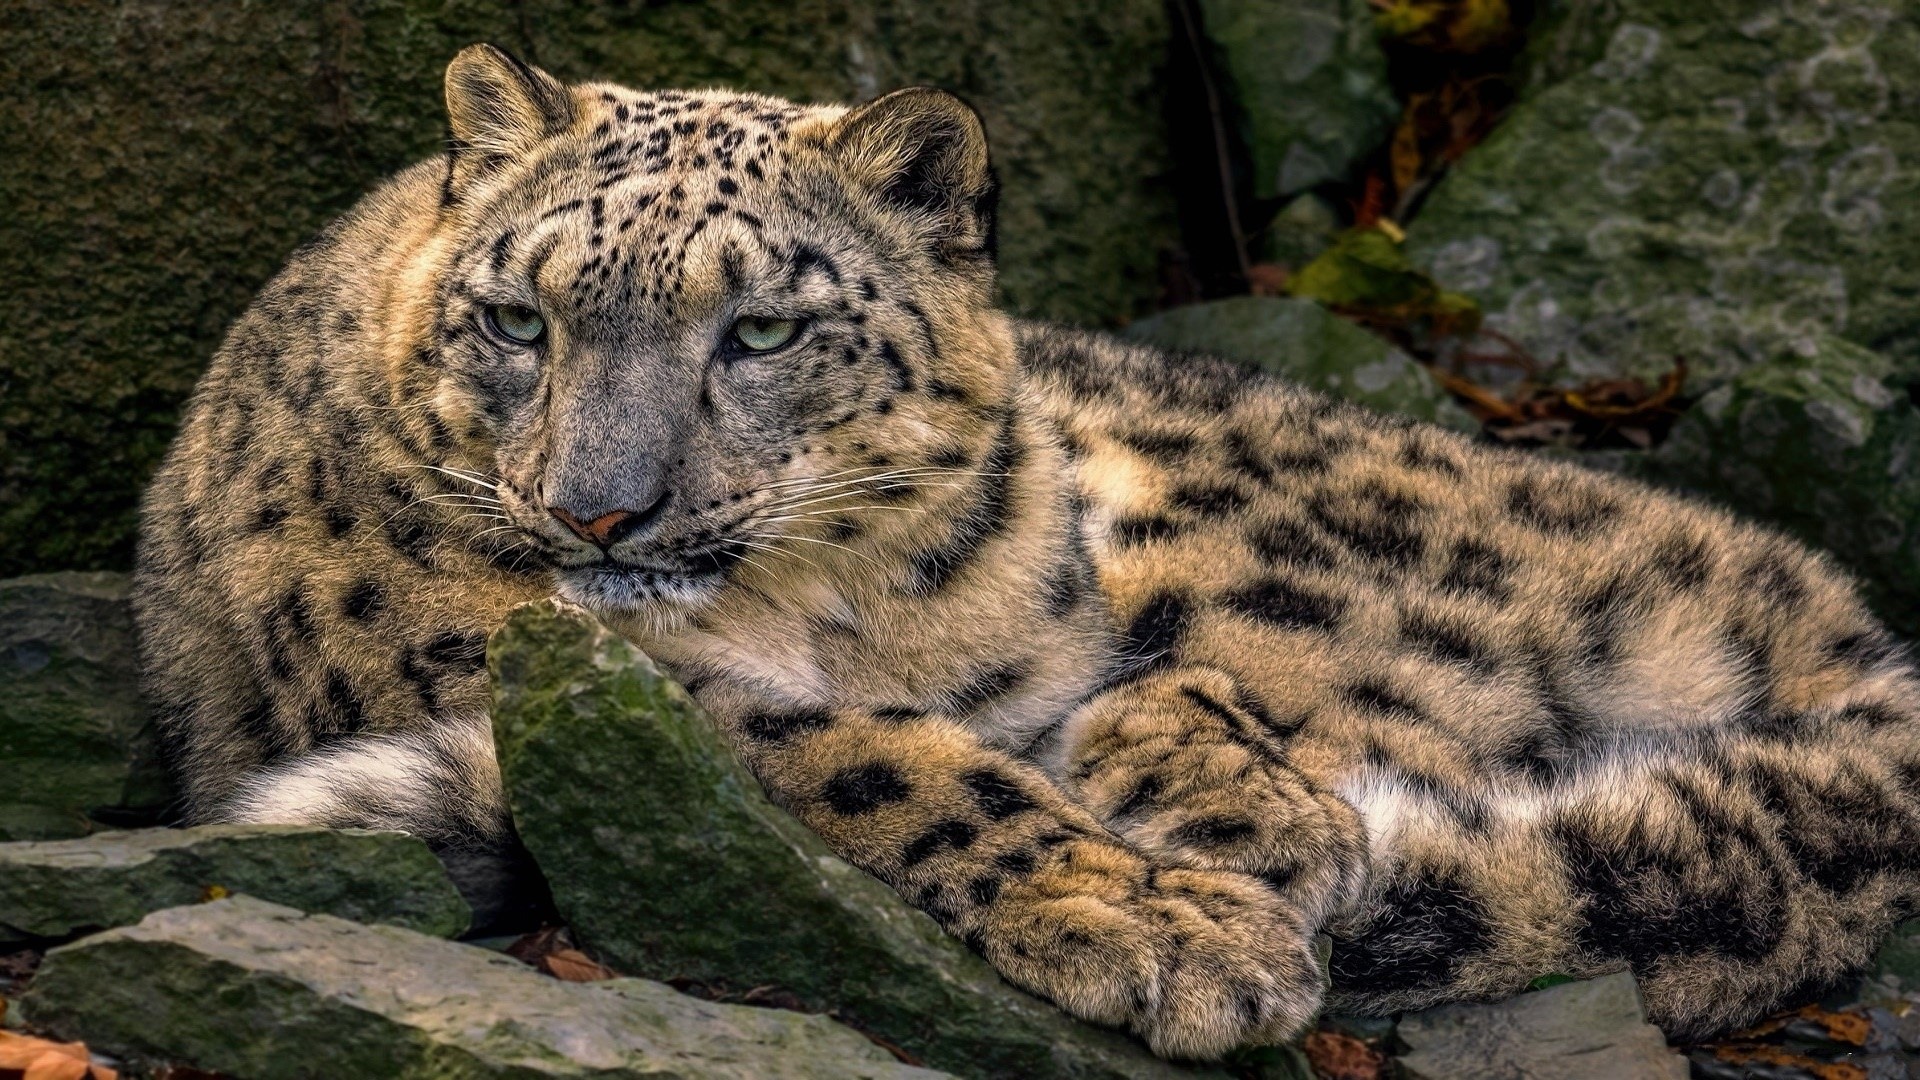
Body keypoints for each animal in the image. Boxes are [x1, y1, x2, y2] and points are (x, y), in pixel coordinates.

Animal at [133, 43, 1920, 1060]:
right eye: (519, 319)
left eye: (760, 330)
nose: (598, 511)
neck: (833, 611)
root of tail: (1801, 587)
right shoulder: (538, 664)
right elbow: (883, 757)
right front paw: (1173, 926)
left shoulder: (1055, 643)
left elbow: (1111, 702)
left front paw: (1253, 823)